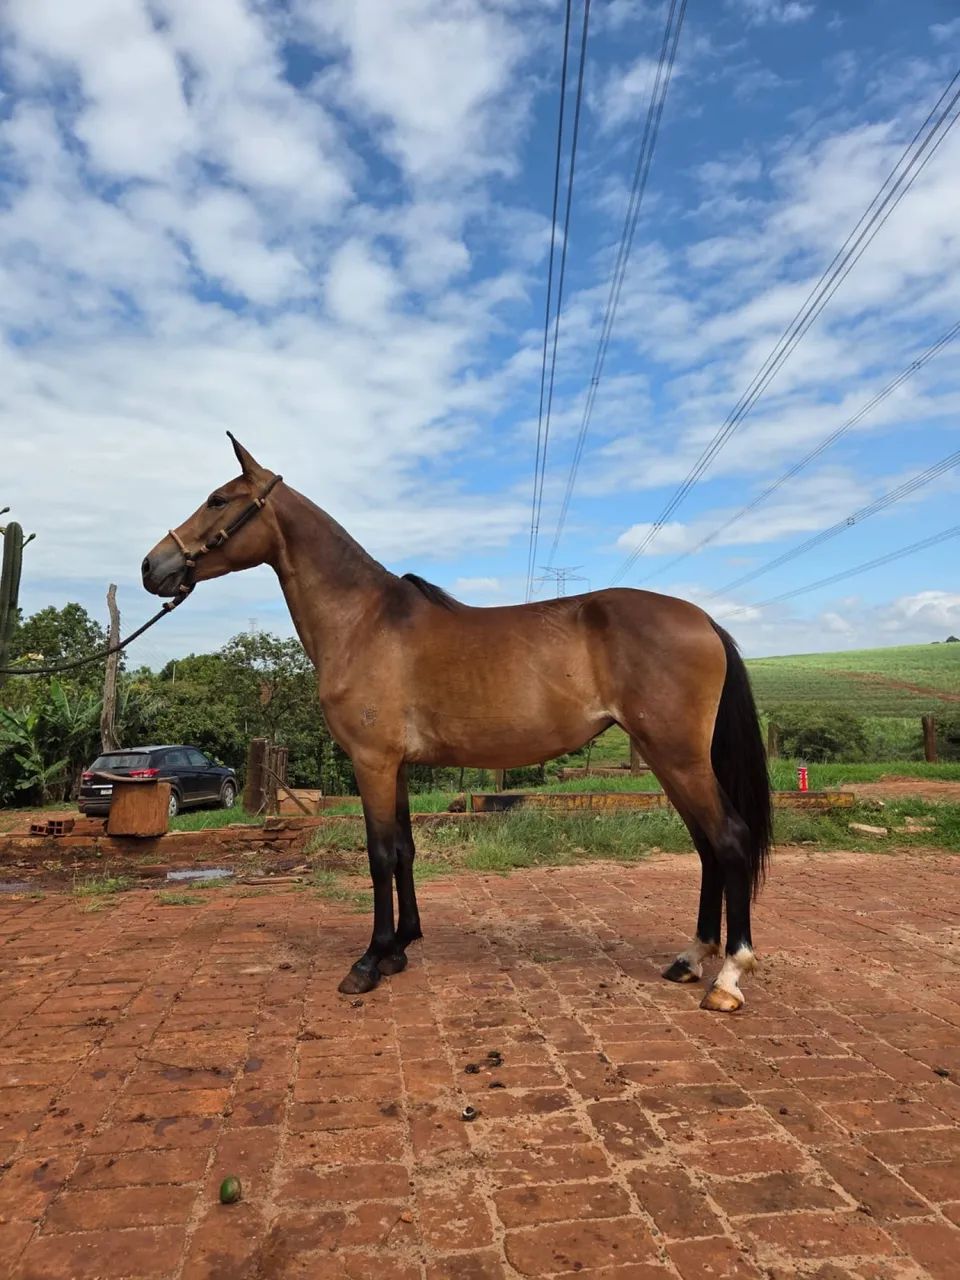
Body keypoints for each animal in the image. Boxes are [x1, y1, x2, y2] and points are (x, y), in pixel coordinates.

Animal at [143, 435, 771, 1011]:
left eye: (218, 499)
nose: (153, 566)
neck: (365, 621)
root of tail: (703, 619)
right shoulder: (395, 766)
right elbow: (403, 849)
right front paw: (399, 948)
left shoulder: (371, 761)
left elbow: (378, 854)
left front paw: (369, 961)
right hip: (668, 759)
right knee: (707, 845)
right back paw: (691, 958)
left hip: (677, 757)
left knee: (729, 839)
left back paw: (728, 977)